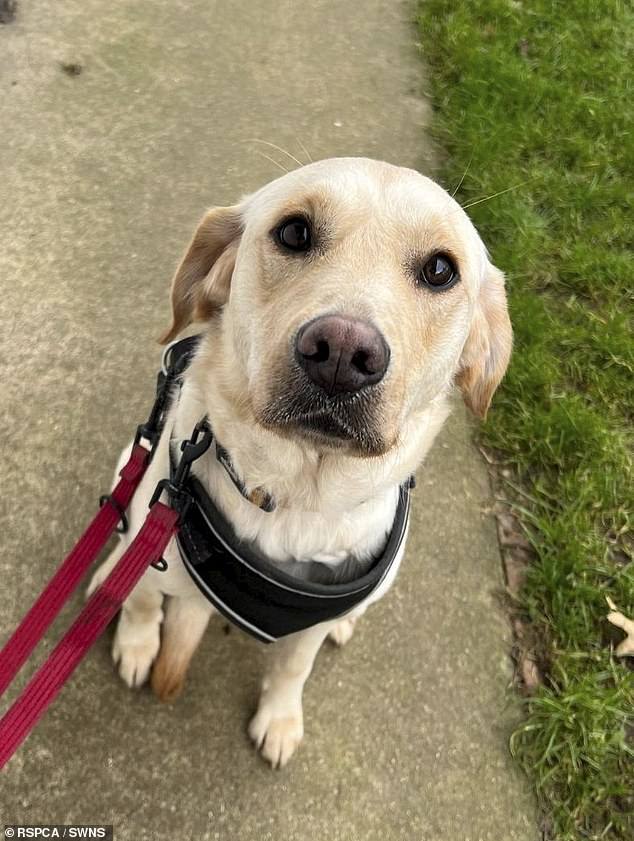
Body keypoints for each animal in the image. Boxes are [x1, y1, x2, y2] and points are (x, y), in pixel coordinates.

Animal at [86, 154, 512, 764]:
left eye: (439, 270)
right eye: (294, 233)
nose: (342, 353)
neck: (289, 494)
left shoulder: (302, 632)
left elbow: (293, 666)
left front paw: (280, 718)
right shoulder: (155, 540)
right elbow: (142, 600)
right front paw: (137, 642)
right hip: (133, 464)